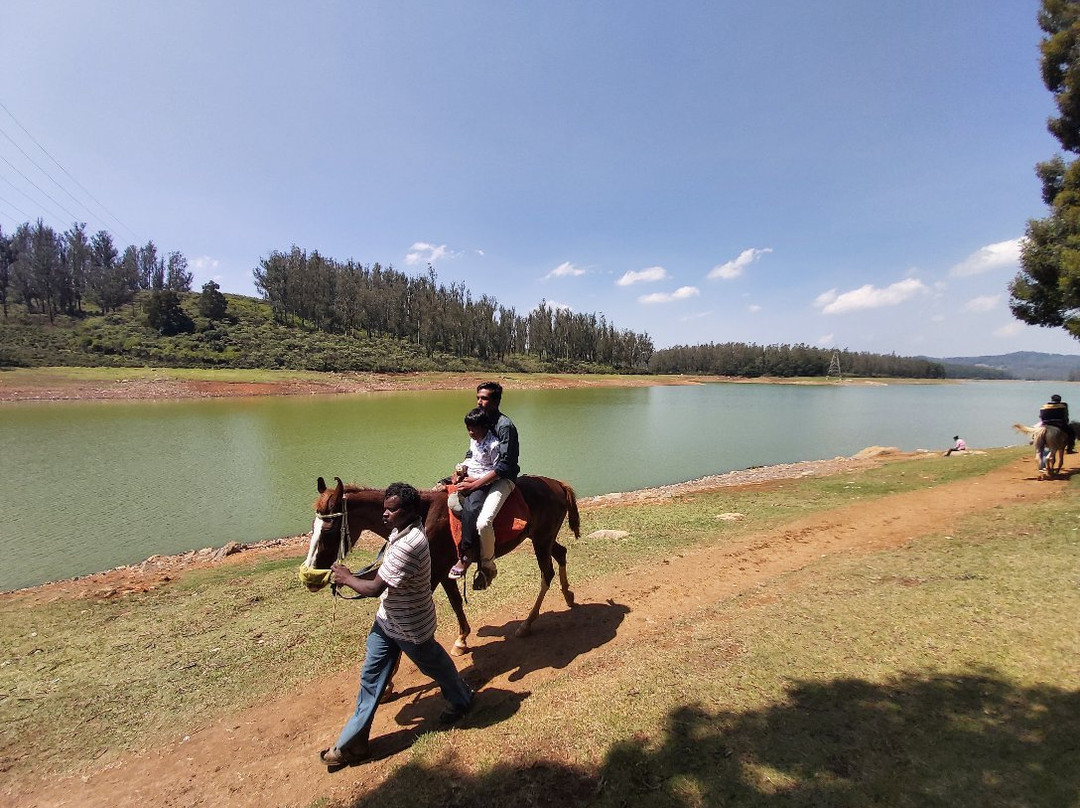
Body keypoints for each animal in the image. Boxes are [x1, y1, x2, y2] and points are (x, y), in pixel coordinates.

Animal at [295, 477, 583, 652]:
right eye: (312, 526)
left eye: (329, 529)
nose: (308, 577)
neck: (422, 516)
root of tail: (558, 484)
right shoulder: (443, 571)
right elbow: (456, 602)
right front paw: (462, 639)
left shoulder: (431, 574)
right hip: (542, 538)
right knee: (561, 554)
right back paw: (569, 596)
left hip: (541, 540)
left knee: (547, 573)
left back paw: (527, 624)